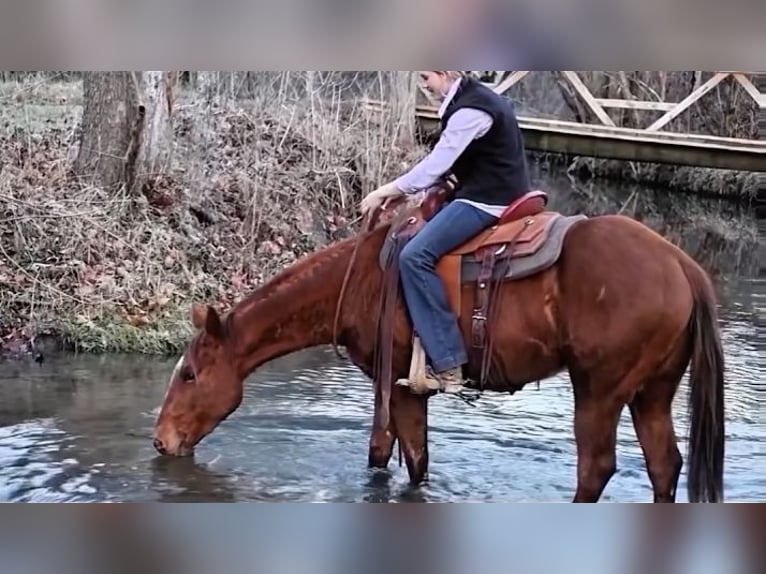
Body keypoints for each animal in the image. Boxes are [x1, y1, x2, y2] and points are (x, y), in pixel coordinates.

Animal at [152, 186, 725, 503]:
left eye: (190, 374)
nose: (160, 442)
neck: (362, 280)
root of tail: (682, 265)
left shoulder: (406, 387)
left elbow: (416, 462)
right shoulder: (387, 385)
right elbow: (380, 454)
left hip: (599, 389)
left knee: (596, 469)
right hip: (652, 392)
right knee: (663, 466)